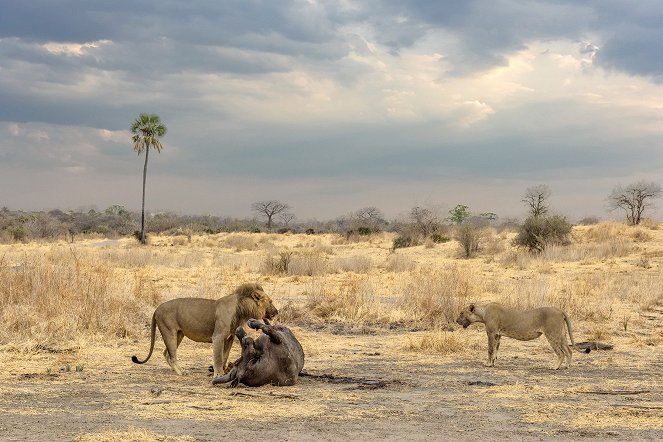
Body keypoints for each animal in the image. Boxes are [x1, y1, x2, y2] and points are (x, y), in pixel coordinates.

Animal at [132, 284, 278, 376]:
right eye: (270, 301)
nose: (276, 312)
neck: (241, 308)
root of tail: (156, 309)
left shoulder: (229, 338)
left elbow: (225, 356)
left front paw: (224, 370)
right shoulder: (218, 336)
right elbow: (218, 357)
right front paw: (218, 374)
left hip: (179, 334)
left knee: (166, 353)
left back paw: (177, 370)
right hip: (169, 331)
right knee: (172, 355)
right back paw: (182, 372)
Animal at [456, 300, 592, 370]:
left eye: (461, 313)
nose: (456, 321)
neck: (483, 313)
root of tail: (559, 310)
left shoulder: (491, 332)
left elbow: (490, 349)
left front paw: (488, 364)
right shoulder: (498, 335)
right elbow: (495, 350)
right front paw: (493, 363)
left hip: (552, 334)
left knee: (561, 352)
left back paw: (554, 367)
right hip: (561, 334)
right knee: (569, 350)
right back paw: (567, 366)